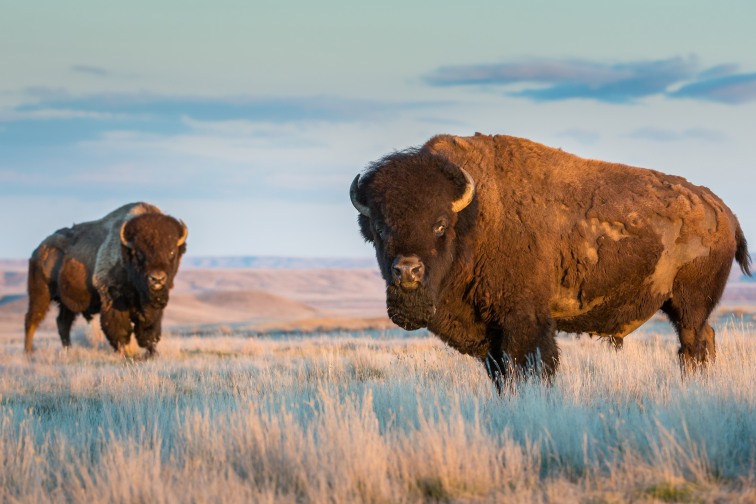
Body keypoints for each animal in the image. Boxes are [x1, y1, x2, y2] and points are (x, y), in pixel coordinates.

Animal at [25, 203, 189, 356]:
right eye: (139, 253)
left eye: (172, 252)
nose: (157, 279)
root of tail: (38, 251)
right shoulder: (113, 298)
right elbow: (120, 330)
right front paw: (128, 354)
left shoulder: (151, 310)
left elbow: (150, 332)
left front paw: (152, 354)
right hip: (40, 295)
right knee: (32, 319)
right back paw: (29, 352)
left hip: (67, 303)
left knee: (63, 323)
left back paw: (68, 350)